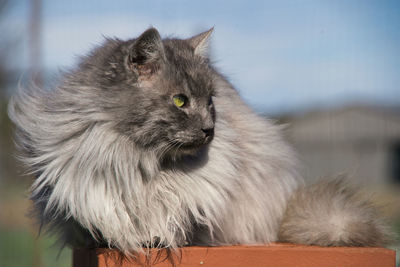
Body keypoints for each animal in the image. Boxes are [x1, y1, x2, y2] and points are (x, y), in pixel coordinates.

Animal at [8, 27, 390, 255]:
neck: (138, 164)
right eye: (180, 101)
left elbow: (177, 225)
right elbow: (99, 226)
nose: (210, 129)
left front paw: (157, 237)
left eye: (210, 102)